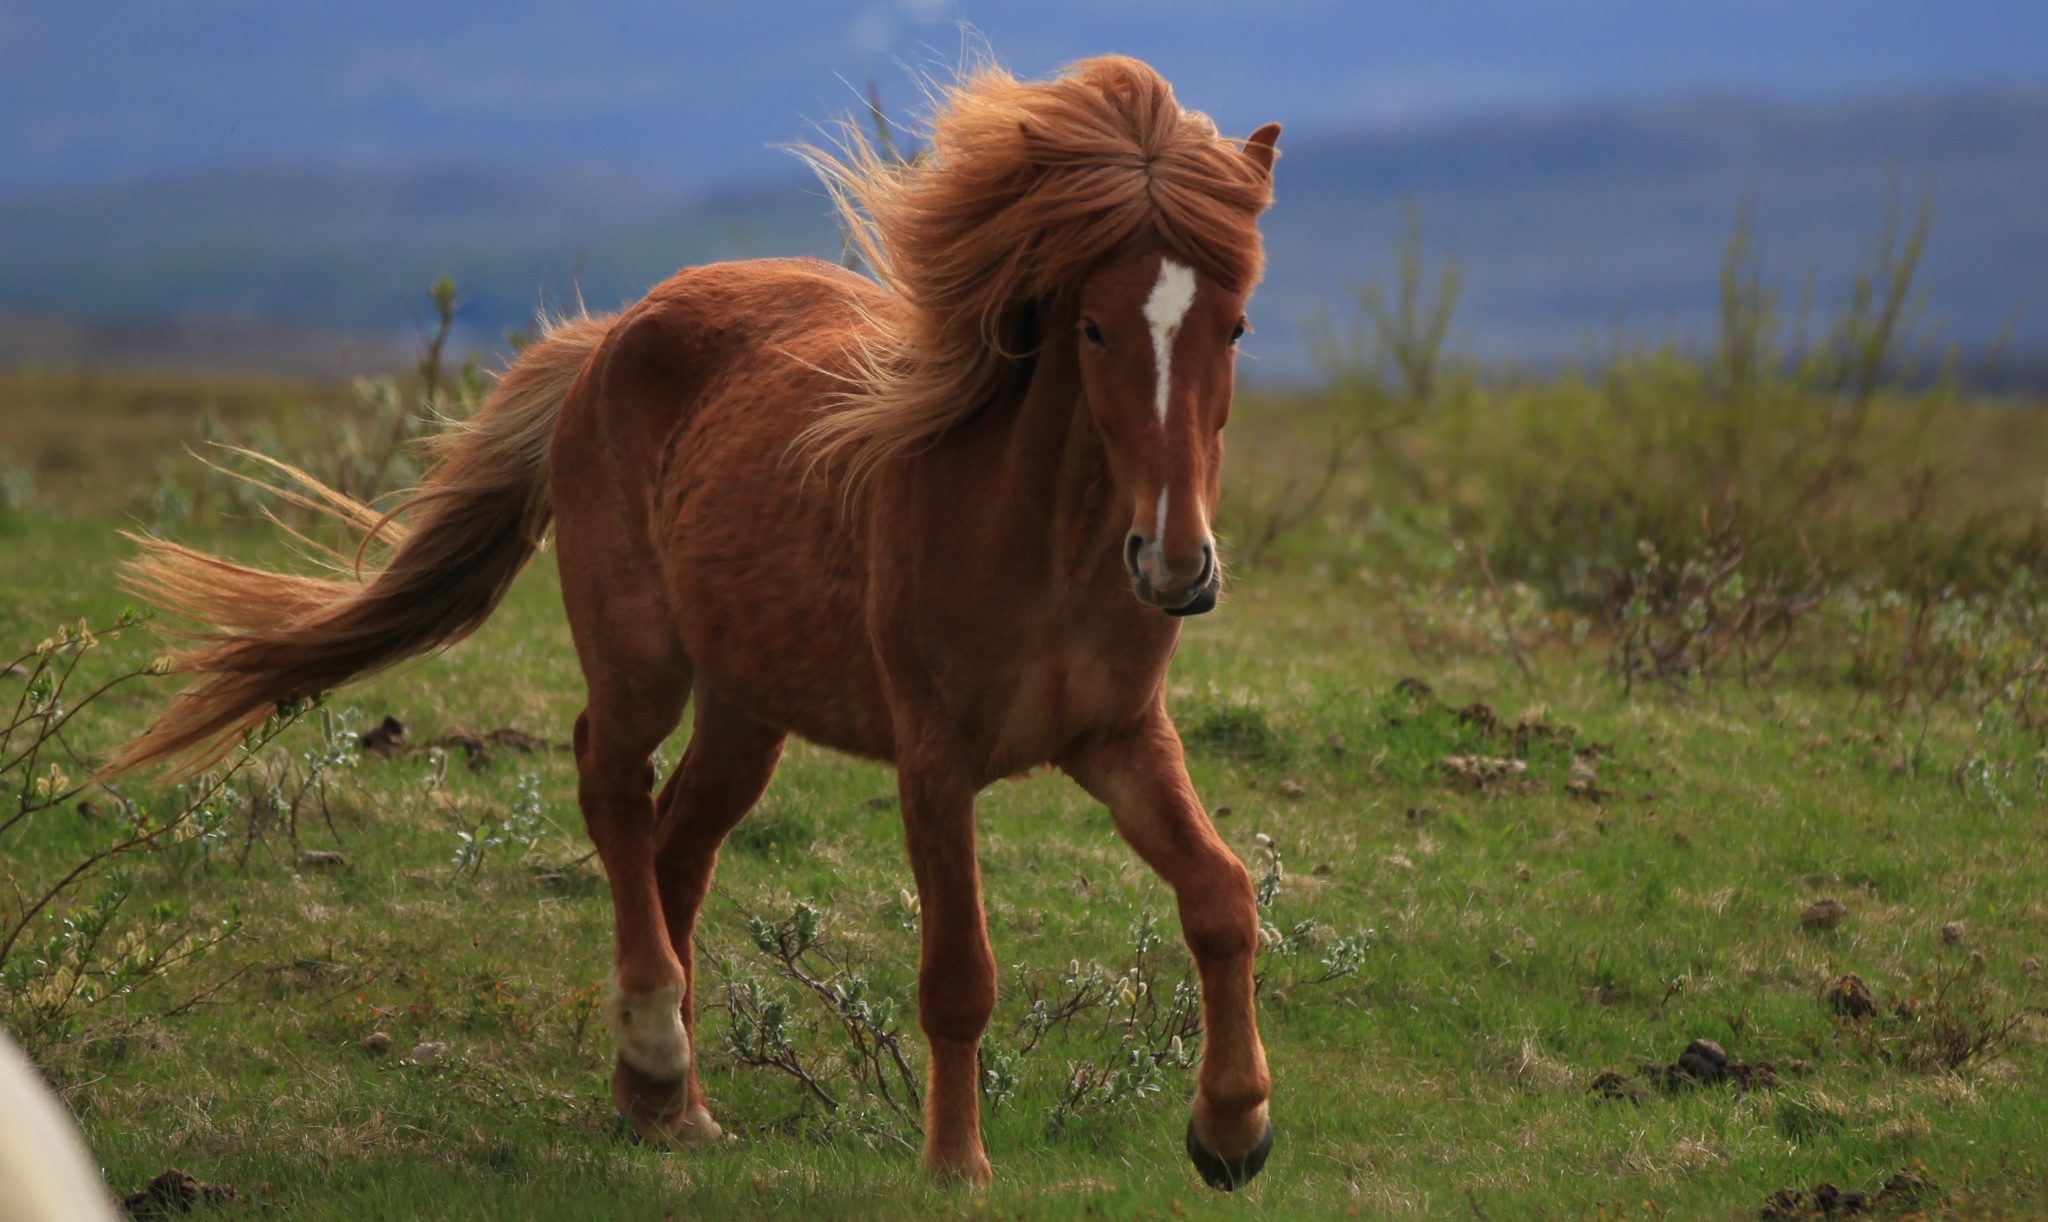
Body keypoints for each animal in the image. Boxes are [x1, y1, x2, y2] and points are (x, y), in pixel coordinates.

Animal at [112, 57, 1277, 1195]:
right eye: (1092, 325)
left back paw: (667, 1103)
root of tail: (610, 333)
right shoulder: (934, 758)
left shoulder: (1118, 737)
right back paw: (657, 1050)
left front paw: (1231, 1131)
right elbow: (958, 974)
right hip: (640, 659)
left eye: (1234, 326)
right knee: (611, 786)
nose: (1176, 565)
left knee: (675, 844)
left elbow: (1222, 896)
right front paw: (955, 1166)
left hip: (746, 706)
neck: (1040, 543)